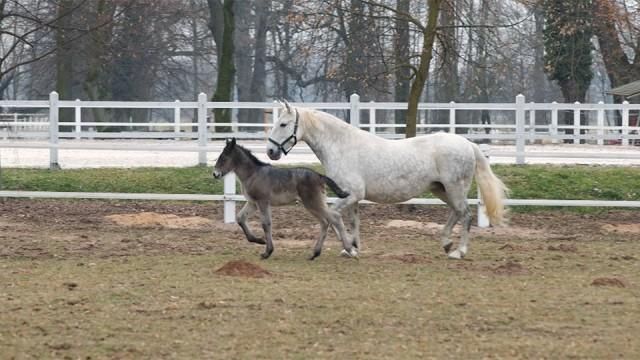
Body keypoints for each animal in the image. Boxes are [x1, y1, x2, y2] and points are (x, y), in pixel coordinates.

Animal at [214, 138, 356, 258]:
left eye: (224, 158)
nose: (215, 174)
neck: (253, 174)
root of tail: (319, 175)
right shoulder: (253, 203)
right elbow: (240, 218)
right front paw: (259, 240)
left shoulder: (262, 202)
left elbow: (266, 224)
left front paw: (267, 252)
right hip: (316, 202)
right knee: (326, 221)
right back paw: (315, 253)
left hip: (312, 202)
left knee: (334, 218)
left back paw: (349, 249)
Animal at [264, 101, 504, 258]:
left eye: (283, 124)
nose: (270, 151)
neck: (342, 146)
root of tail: (467, 144)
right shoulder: (352, 197)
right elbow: (353, 220)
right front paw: (352, 247)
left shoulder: (352, 194)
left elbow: (332, 215)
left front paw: (348, 248)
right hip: (441, 190)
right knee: (456, 212)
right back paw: (446, 243)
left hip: (455, 188)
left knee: (465, 215)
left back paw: (458, 252)